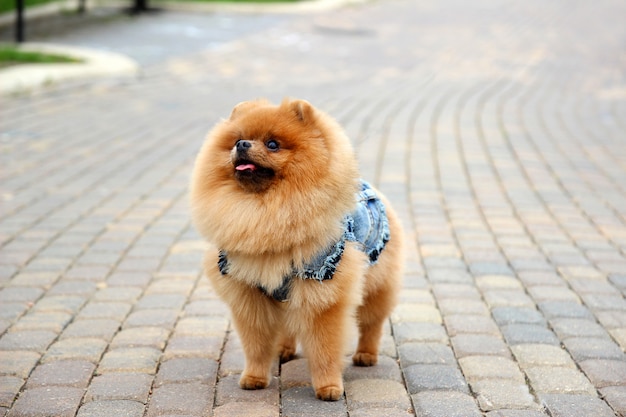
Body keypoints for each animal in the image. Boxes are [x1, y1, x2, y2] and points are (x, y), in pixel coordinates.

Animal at [190, 97, 402, 400]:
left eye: (273, 144)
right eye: (238, 139)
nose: (241, 145)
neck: (264, 209)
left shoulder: (324, 294)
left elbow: (325, 349)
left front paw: (328, 387)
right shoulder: (249, 294)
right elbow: (255, 344)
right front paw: (254, 377)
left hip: (376, 284)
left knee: (371, 323)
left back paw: (366, 355)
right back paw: (283, 350)